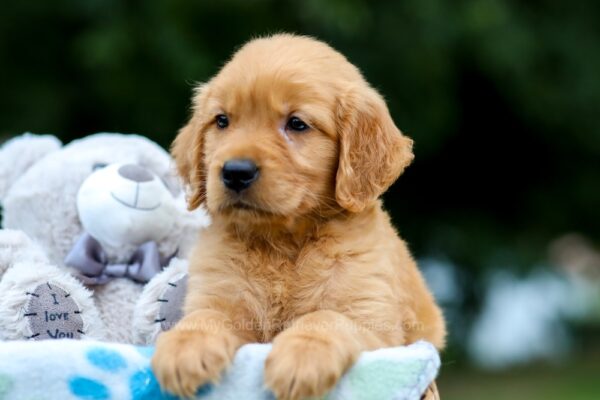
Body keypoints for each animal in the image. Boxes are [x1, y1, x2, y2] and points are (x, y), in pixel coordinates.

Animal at [152, 35, 446, 400]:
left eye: (296, 124)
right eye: (222, 121)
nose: (235, 172)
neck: (282, 242)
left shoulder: (379, 330)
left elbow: (326, 318)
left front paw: (302, 357)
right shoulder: (219, 296)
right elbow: (205, 316)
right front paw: (183, 347)